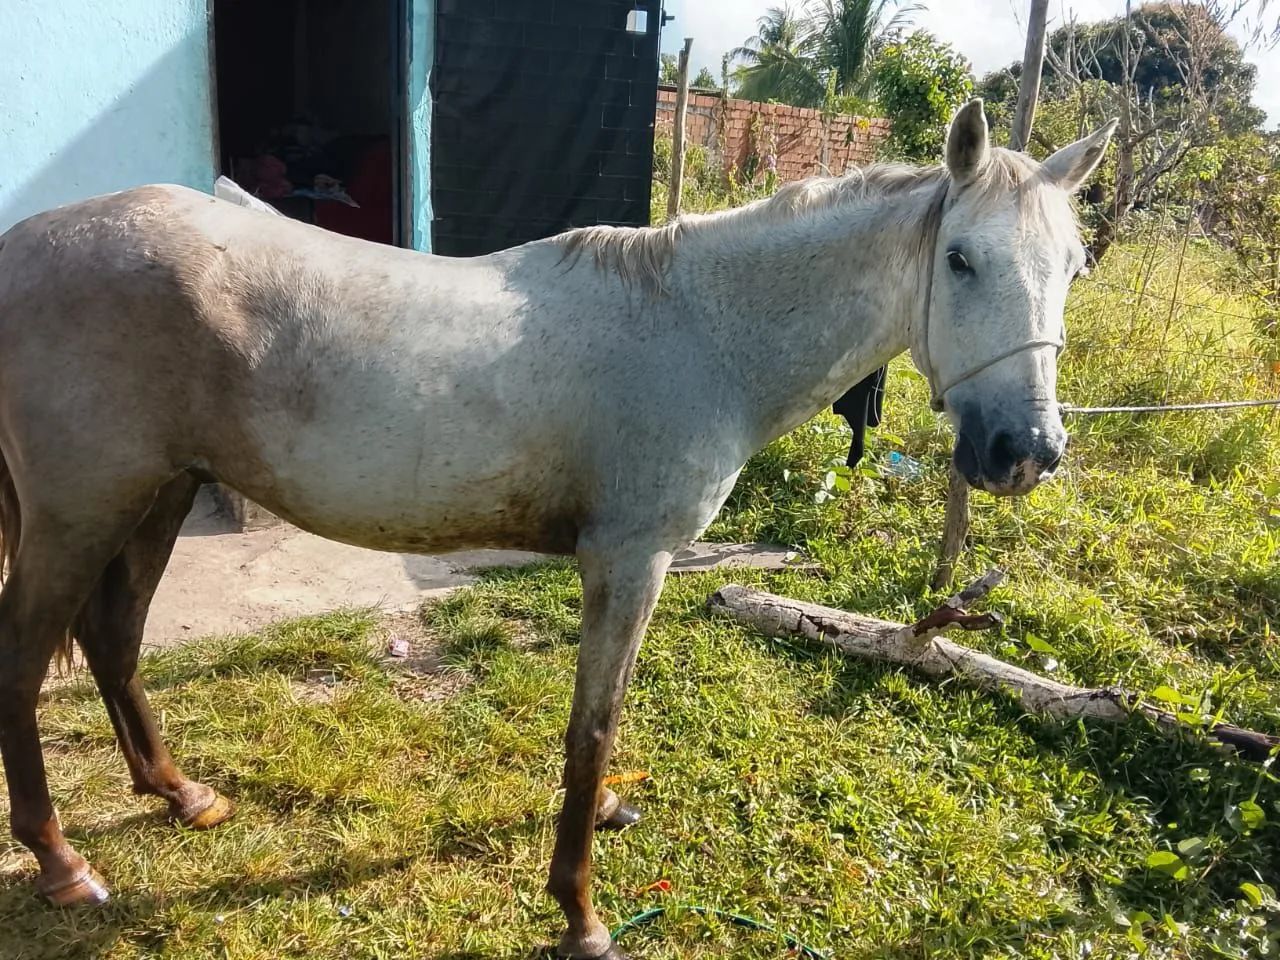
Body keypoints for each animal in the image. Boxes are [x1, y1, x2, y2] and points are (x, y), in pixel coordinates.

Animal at [0, 101, 1113, 958]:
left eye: (1075, 267)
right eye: (960, 260)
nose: (1024, 450)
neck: (697, 330)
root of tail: (21, 246)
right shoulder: (629, 561)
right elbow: (593, 725)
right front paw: (580, 911)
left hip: (158, 495)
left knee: (114, 639)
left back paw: (178, 794)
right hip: (81, 510)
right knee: (28, 656)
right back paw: (60, 863)